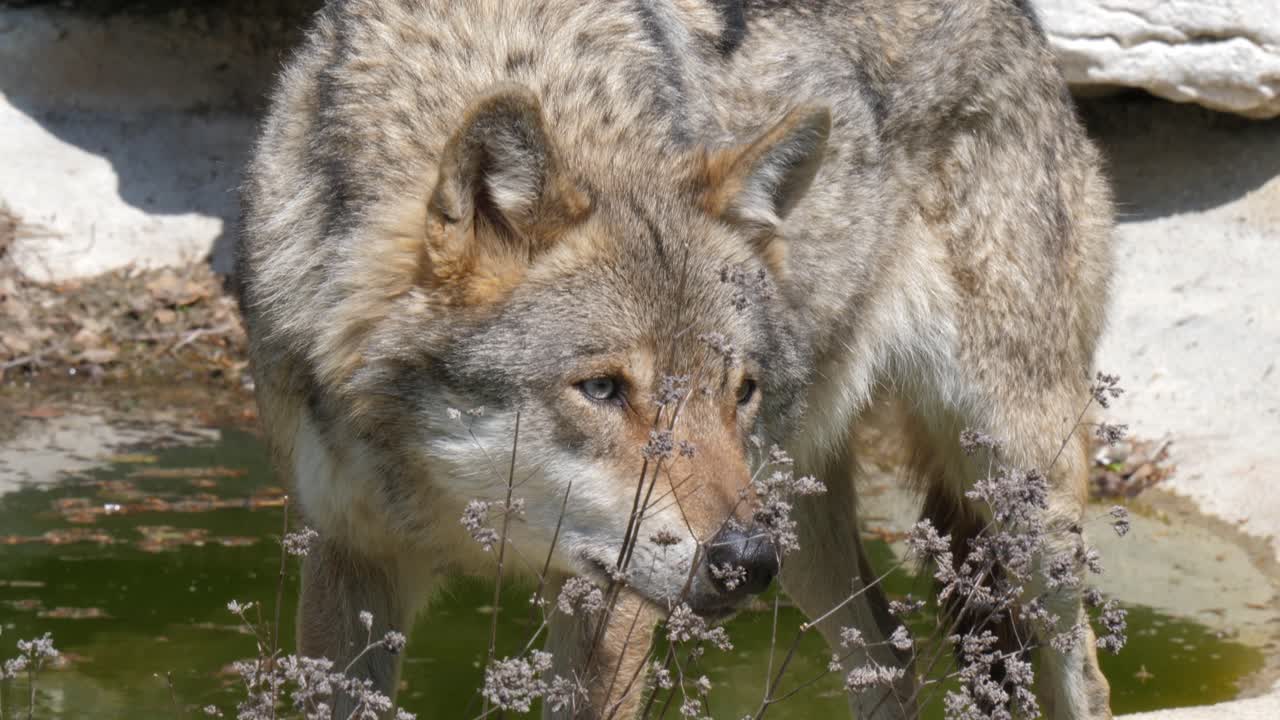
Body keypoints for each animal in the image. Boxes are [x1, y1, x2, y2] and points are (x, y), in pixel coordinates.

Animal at [236, 0, 1115, 717]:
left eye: (740, 390)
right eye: (601, 388)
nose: (745, 561)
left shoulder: (611, 601)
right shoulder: (349, 559)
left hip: (1016, 503)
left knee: (1081, 675)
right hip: (805, 526)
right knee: (891, 664)